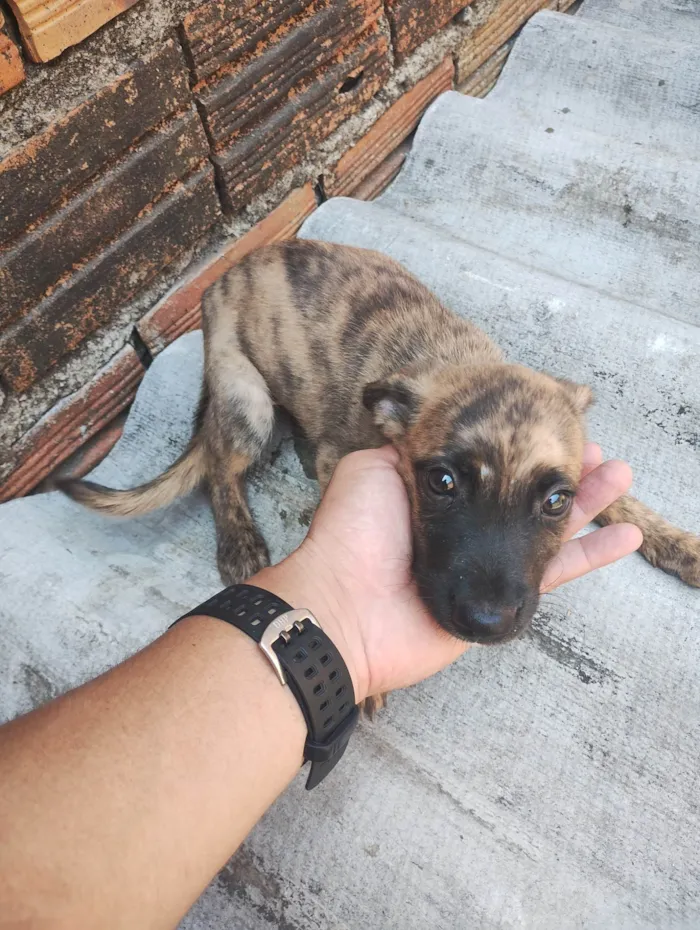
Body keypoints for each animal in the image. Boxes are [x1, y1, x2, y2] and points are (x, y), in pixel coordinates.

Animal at [60, 239, 700, 644]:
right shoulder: (340, 458)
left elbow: (621, 496)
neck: (454, 358)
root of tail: (217, 282)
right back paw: (238, 539)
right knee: (221, 462)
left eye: (557, 502)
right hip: (247, 398)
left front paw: (679, 544)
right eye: (441, 482)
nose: (486, 624)